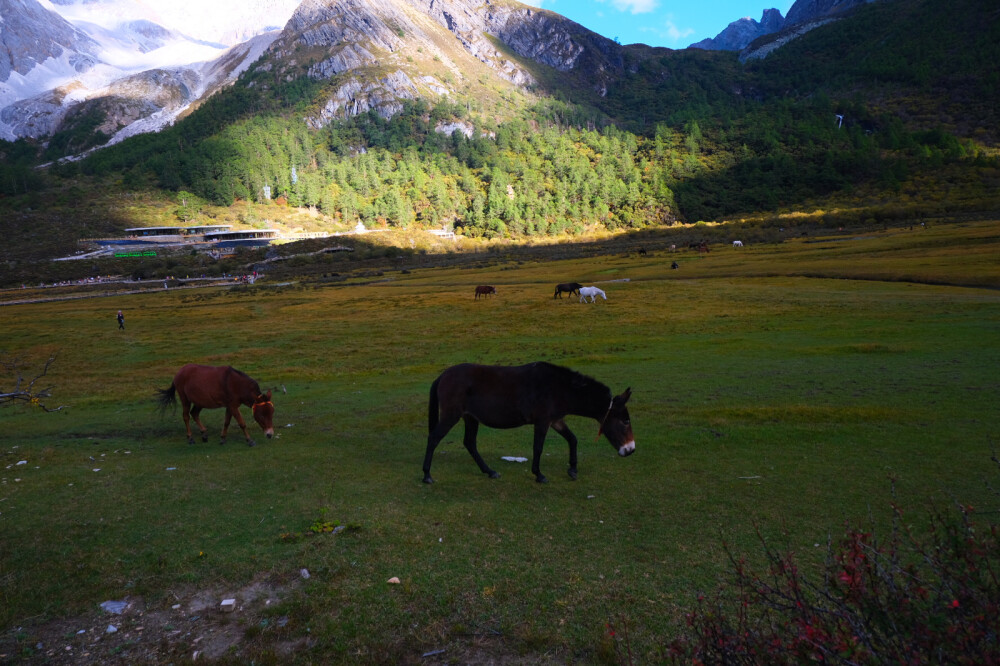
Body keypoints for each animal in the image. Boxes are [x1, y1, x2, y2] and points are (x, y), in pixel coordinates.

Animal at [422, 360, 632, 480]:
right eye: (625, 422)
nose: (631, 449)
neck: (558, 388)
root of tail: (442, 375)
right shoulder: (543, 421)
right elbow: (538, 447)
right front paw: (539, 474)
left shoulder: (555, 420)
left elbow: (572, 439)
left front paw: (572, 470)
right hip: (452, 415)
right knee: (433, 438)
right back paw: (426, 475)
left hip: (470, 418)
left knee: (470, 443)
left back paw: (490, 472)